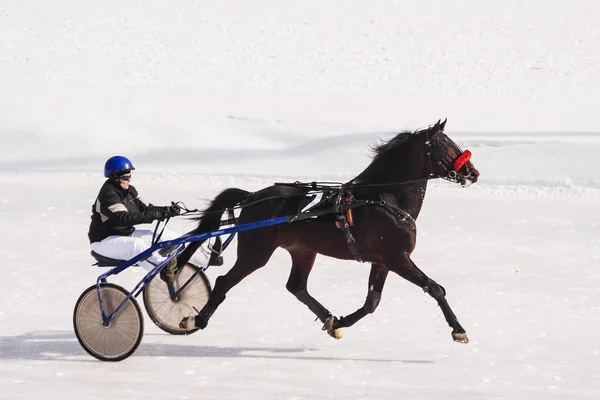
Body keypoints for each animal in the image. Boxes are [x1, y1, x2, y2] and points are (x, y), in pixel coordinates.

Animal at [177, 119, 478, 344]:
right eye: (444, 145)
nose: (473, 173)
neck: (384, 198)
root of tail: (252, 197)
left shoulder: (382, 261)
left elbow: (371, 303)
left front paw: (339, 322)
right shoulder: (397, 257)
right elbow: (435, 288)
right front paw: (458, 329)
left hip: (303, 250)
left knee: (296, 287)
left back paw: (328, 318)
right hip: (256, 252)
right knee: (224, 282)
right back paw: (197, 318)